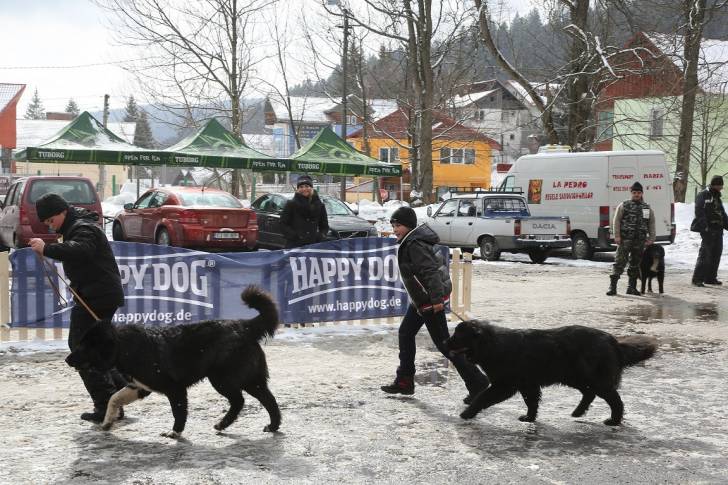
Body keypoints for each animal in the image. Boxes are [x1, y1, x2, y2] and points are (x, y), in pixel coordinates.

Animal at [66, 286, 281, 438]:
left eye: (85, 346)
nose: (67, 359)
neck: (125, 347)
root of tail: (244, 325)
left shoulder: (175, 389)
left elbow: (178, 412)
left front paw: (175, 432)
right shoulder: (139, 387)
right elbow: (114, 398)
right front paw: (108, 422)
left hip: (223, 379)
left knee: (240, 400)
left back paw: (226, 423)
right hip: (249, 380)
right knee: (267, 400)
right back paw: (271, 426)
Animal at [444, 320, 657, 426]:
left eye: (458, 335)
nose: (445, 342)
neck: (491, 345)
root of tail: (613, 341)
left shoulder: (505, 385)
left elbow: (482, 397)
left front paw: (466, 413)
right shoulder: (527, 384)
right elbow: (531, 402)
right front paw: (529, 418)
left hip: (595, 379)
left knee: (615, 400)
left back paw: (613, 421)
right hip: (575, 377)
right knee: (589, 393)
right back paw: (577, 412)